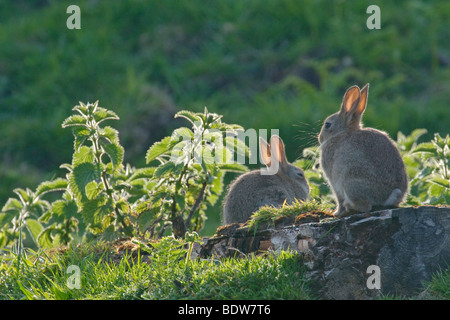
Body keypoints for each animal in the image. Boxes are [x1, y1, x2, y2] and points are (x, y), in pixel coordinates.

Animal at [318, 83, 410, 218]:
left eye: (327, 125)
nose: (319, 138)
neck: (343, 133)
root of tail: (387, 196)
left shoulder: (334, 182)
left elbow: (338, 199)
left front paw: (336, 213)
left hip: (350, 179)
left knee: (365, 206)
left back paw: (349, 207)